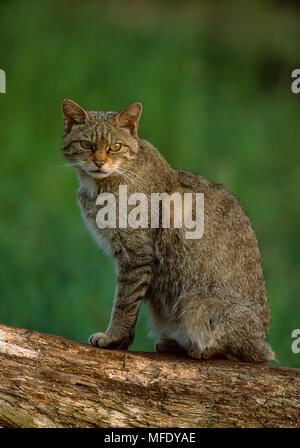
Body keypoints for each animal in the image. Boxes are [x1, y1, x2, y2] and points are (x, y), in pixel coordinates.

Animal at [62, 100, 276, 362]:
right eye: (86, 144)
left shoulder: (136, 256)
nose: (99, 162)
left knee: (252, 353)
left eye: (115, 147)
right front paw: (121, 341)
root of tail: (262, 339)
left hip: (194, 304)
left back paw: (203, 349)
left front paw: (114, 338)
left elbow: (124, 302)